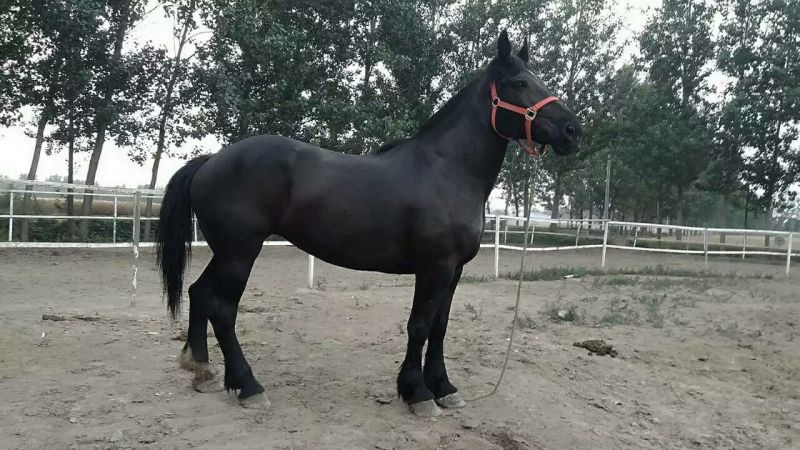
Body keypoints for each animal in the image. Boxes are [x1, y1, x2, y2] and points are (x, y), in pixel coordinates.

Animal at [157, 30, 582, 417]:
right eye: (520, 83)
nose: (572, 131)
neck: (448, 170)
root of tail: (211, 160)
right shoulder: (435, 266)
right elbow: (419, 325)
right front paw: (418, 393)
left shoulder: (454, 270)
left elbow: (440, 326)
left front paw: (444, 388)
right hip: (240, 253)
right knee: (223, 308)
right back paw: (248, 386)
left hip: (227, 252)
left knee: (198, 292)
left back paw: (202, 370)